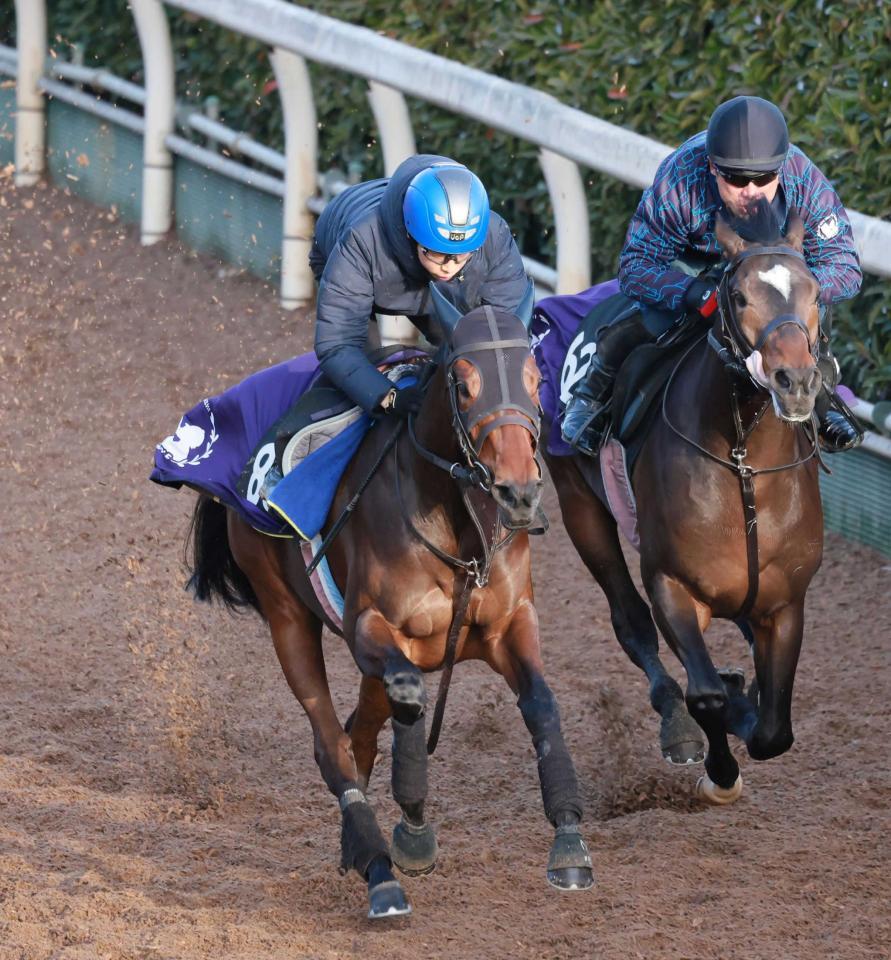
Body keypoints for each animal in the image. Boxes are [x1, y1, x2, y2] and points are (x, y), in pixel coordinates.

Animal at [186, 296, 592, 920]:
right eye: (464, 383)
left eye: (533, 378)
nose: (519, 492)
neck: (456, 526)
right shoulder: (371, 630)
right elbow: (408, 699)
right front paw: (414, 835)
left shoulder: (508, 626)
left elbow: (543, 704)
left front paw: (569, 839)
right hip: (286, 617)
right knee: (335, 746)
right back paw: (378, 869)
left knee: (361, 735)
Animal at [548, 210, 824, 804]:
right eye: (738, 296)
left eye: (814, 291)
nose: (794, 381)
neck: (743, 469)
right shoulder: (673, 585)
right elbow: (708, 695)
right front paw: (720, 769)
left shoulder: (785, 601)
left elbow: (775, 729)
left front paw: (746, 698)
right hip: (580, 505)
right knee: (630, 622)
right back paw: (677, 723)